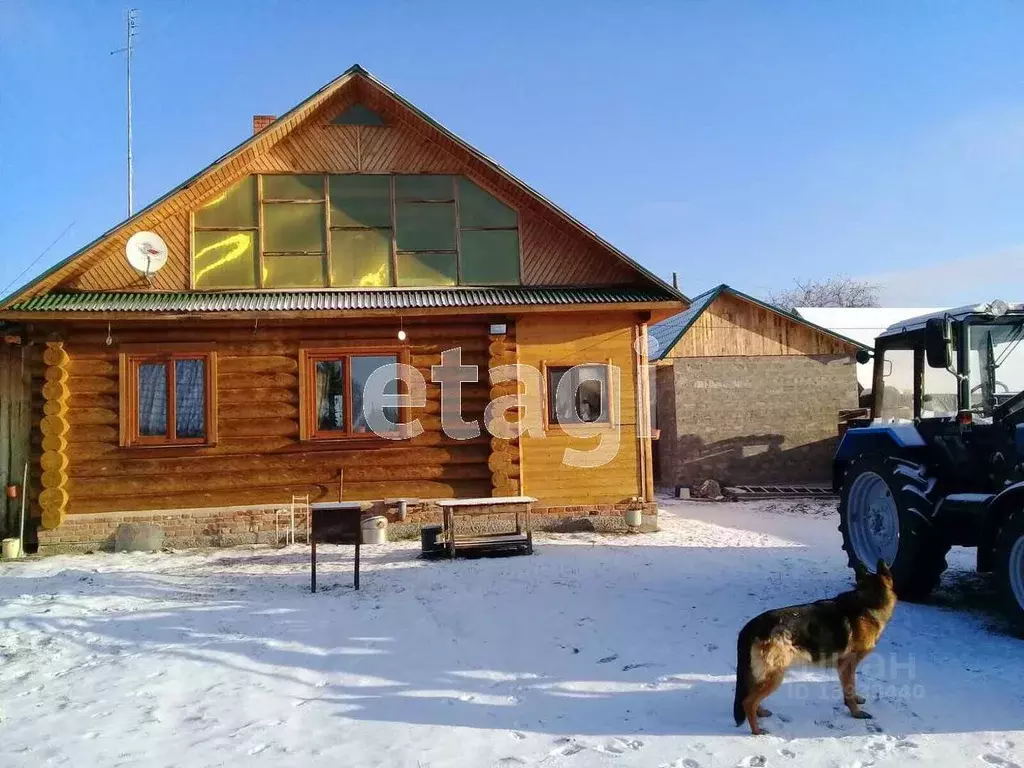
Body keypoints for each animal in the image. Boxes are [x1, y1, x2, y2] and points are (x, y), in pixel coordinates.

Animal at [733, 561, 892, 737]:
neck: (867, 599)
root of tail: (751, 626)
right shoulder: (847, 665)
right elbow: (849, 689)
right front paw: (856, 712)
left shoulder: (846, 668)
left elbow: (850, 687)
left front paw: (855, 700)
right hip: (775, 675)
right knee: (748, 701)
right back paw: (756, 730)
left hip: (763, 673)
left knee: (751, 696)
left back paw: (760, 712)